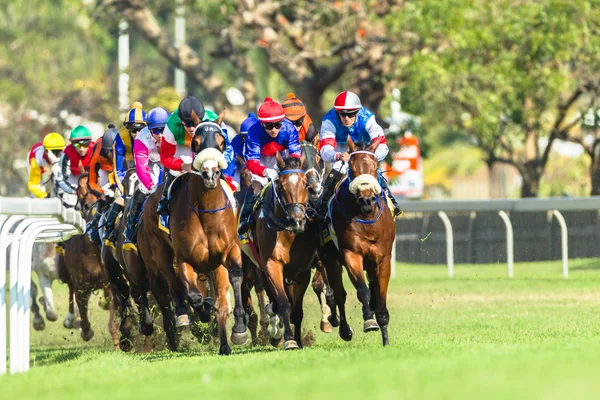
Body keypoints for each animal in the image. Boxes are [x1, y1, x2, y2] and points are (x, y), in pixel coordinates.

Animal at [322, 138, 396, 346]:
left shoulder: (383, 258)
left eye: (375, 167)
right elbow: (362, 291)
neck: (366, 218)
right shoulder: (351, 254)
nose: (367, 200)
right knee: (339, 294)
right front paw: (369, 321)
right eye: (352, 168)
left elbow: (380, 296)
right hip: (330, 258)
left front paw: (386, 339)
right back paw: (345, 329)